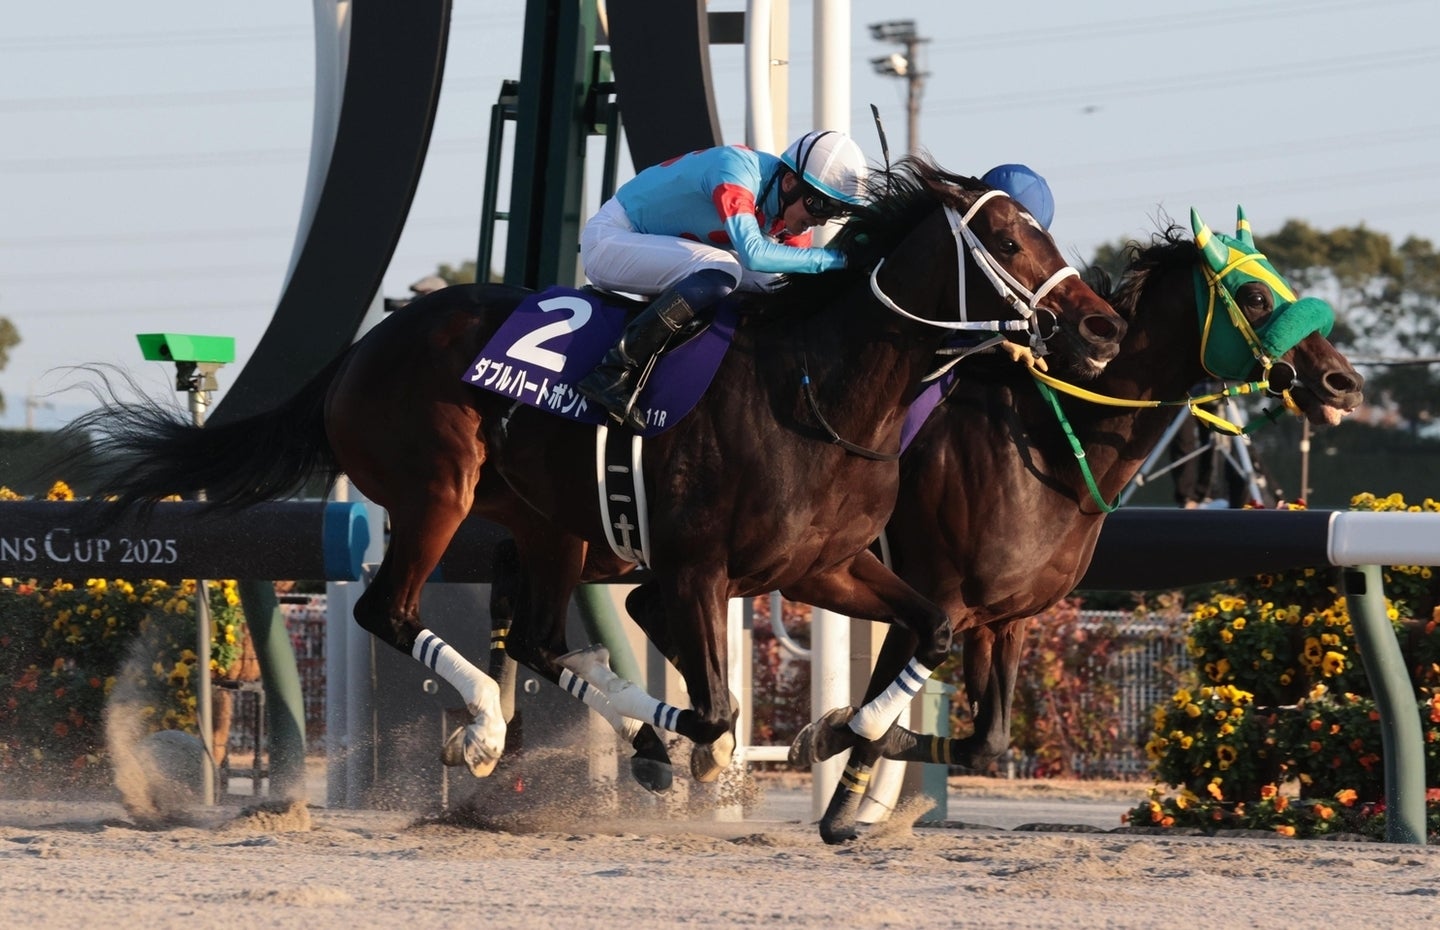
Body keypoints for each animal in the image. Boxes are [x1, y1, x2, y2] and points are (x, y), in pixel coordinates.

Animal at [54, 155, 1125, 796]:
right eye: (1010, 239)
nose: (1103, 327)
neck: (820, 389)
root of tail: (367, 344)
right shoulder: (696, 570)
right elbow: (717, 703)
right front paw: (701, 750)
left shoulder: (821, 565)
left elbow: (933, 626)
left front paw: (835, 733)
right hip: (438, 491)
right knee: (390, 612)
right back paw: (487, 733)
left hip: (550, 523)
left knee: (531, 636)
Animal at [784, 207, 1365, 842]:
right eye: (1255, 296)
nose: (1344, 382)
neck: (1046, 450)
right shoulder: (935, 597)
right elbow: (878, 711)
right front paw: (833, 783)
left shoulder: (1003, 618)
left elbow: (986, 741)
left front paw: (839, 743)